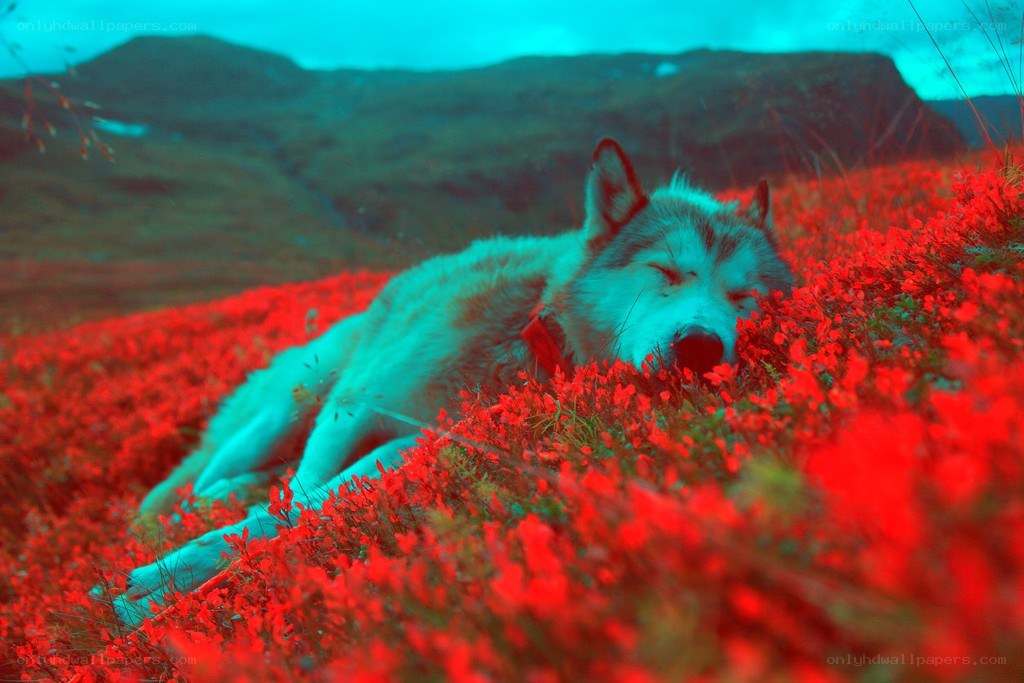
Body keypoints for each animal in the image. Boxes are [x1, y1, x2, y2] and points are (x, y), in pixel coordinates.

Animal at [111, 138, 793, 625]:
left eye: (744, 298)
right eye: (665, 271)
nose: (700, 347)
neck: (531, 339)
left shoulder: (413, 443)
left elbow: (298, 511)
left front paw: (166, 588)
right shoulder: (352, 411)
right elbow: (297, 500)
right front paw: (159, 584)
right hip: (292, 405)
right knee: (192, 483)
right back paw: (181, 513)